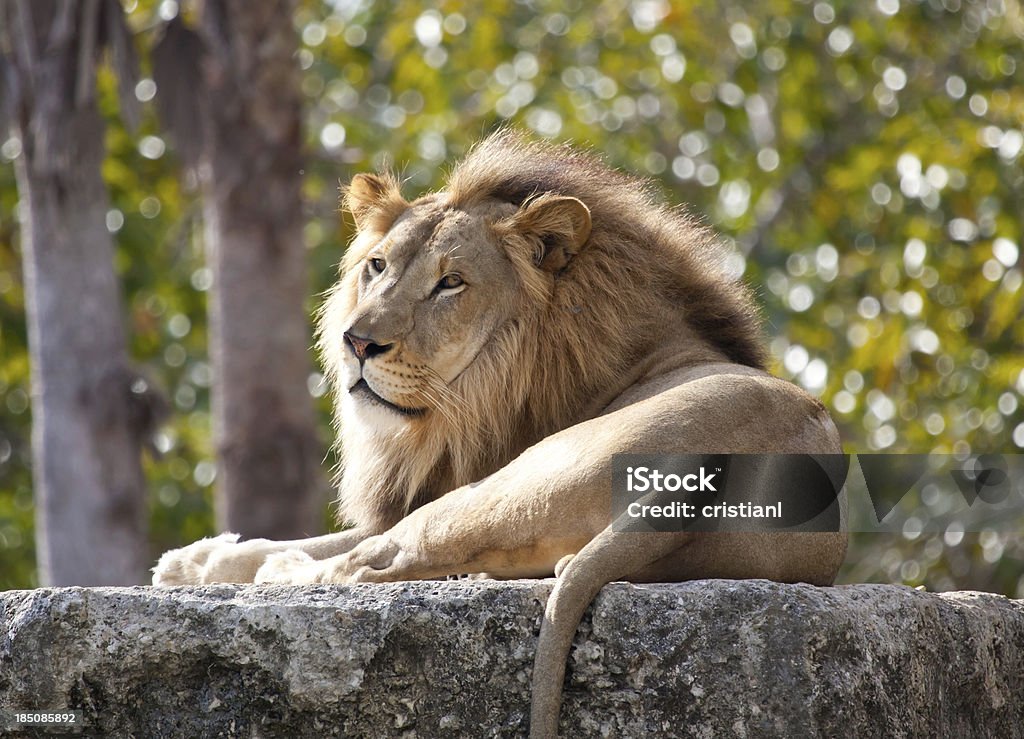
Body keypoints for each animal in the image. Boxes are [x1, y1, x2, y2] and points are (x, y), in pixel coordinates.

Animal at [155, 129, 847, 732]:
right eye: (376, 266)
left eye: (450, 283)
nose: (357, 342)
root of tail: (696, 481)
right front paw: (191, 562)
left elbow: (332, 542)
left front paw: (198, 563)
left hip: (506, 484)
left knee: (373, 565)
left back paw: (284, 575)